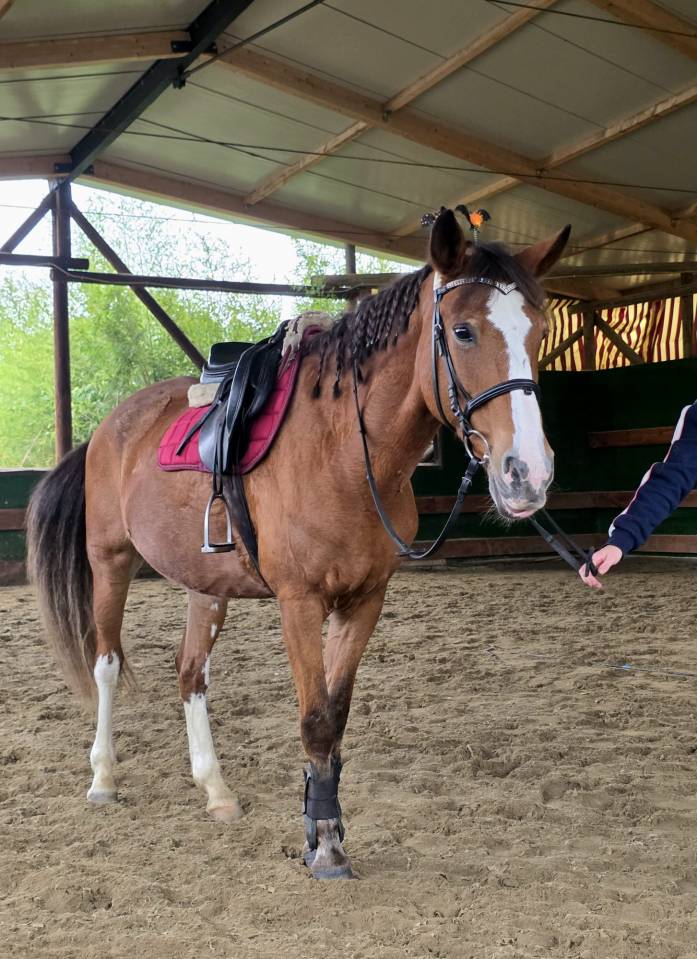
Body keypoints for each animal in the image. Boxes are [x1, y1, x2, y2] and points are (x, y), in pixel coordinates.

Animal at [26, 209, 569, 879]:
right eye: (463, 331)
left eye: (539, 332)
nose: (529, 474)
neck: (345, 454)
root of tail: (107, 430)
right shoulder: (300, 602)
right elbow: (313, 721)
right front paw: (327, 846)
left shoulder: (364, 600)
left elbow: (334, 718)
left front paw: (322, 827)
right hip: (111, 562)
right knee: (105, 664)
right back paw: (102, 778)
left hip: (206, 587)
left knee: (190, 673)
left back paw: (216, 790)